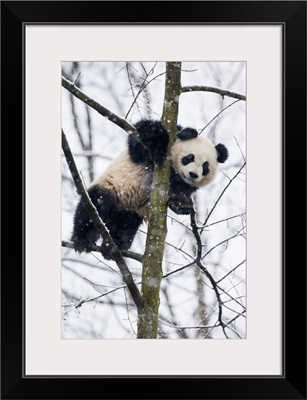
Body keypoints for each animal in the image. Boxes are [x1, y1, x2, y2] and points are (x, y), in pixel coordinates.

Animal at [70, 119, 229, 260]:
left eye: (205, 166)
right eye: (189, 158)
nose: (193, 174)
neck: (174, 171)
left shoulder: (184, 185)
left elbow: (178, 193)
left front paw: (181, 204)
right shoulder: (145, 151)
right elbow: (141, 137)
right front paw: (160, 143)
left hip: (130, 211)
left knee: (125, 226)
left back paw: (113, 248)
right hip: (111, 187)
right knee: (94, 206)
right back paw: (82, 240)